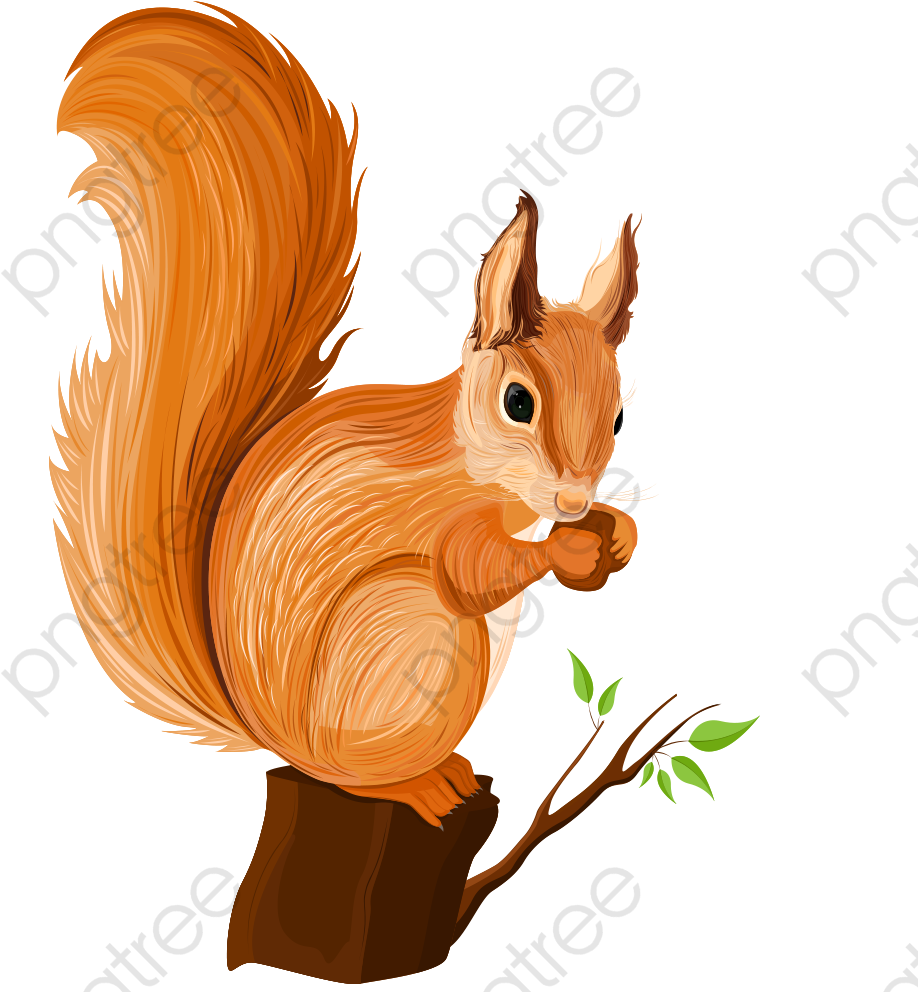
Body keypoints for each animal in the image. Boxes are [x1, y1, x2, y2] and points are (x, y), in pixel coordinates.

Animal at [52, 7, 641, 829]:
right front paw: (569, 551)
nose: (575, 501)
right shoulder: (442, 521)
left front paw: (617, 535)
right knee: (354, 773)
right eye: (518, 403)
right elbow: (473, 571)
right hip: (414, 643)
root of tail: (270, 737)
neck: (482, 471)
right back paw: (420, 785)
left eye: (619, 405)